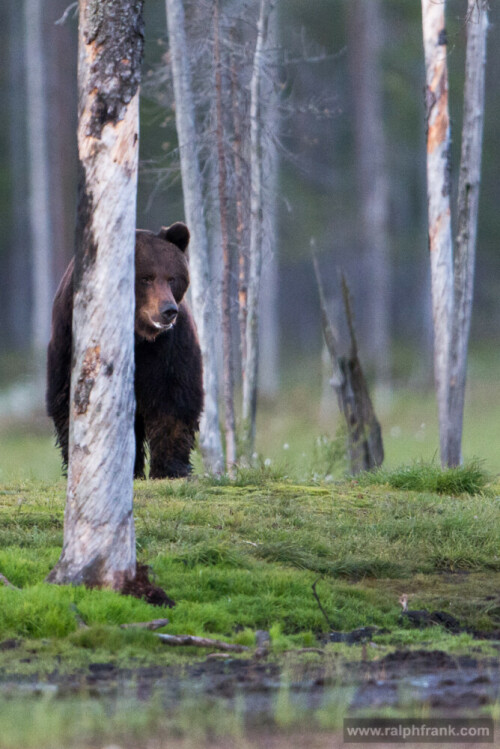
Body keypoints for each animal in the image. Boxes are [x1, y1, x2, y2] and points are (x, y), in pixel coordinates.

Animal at [46, 222, 203, 480]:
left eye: (172, 278)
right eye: (146, 278)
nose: (168, 310)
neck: (138, 334)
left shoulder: (169, 347)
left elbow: (174, 398)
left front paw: (171, 469)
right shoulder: (71, 336)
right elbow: (71, 396)